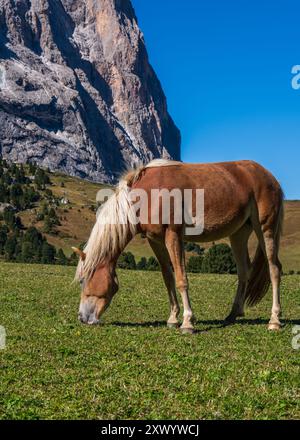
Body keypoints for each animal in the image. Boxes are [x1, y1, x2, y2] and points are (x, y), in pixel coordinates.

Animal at [72, 160, 284, 332]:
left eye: (83, 280)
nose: (82, 318)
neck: (147, 195)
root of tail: (270, 177)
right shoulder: (155, 240)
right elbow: (168, 278)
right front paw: (173, 318)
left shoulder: (173, 236)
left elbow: (182, 279)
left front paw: (187, 322)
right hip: (238, 234)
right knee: (243, 272)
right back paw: (233, 314)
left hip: (265, 229)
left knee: (274, 269)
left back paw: (274, 320)